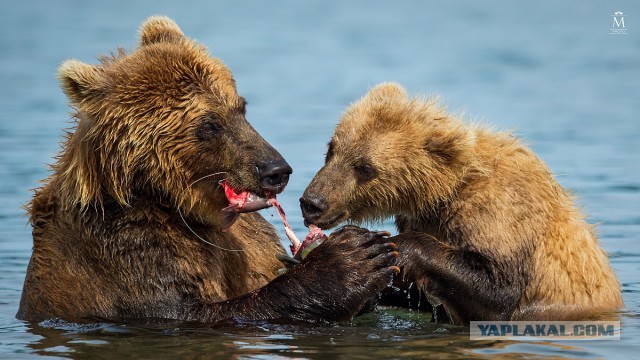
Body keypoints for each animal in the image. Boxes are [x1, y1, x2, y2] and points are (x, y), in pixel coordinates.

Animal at [17, 16, 398, 324]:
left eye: (240, 107)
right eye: (209, 124)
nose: (277, 169)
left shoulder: (242, 240)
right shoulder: (125, 250)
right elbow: (191, 309)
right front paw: (353, 260)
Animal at [302, 83, 624, 324]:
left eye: (366, 168)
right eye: (331, 149)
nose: (312, 202)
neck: (445, 190)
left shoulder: (498, 211)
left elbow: (498, 288)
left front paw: (390, 248)